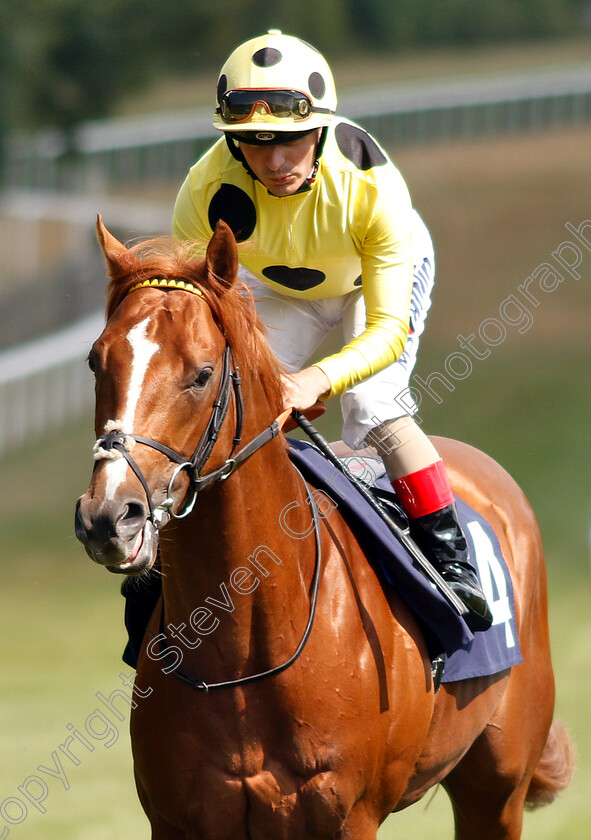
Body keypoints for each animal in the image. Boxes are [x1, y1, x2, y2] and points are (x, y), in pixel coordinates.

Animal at [74, 218, 572, 840]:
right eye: (96, 361)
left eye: (203, 374)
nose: (109, 517)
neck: (245, 652)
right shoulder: (176, 820)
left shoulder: (348, 817)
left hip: (498, 786)